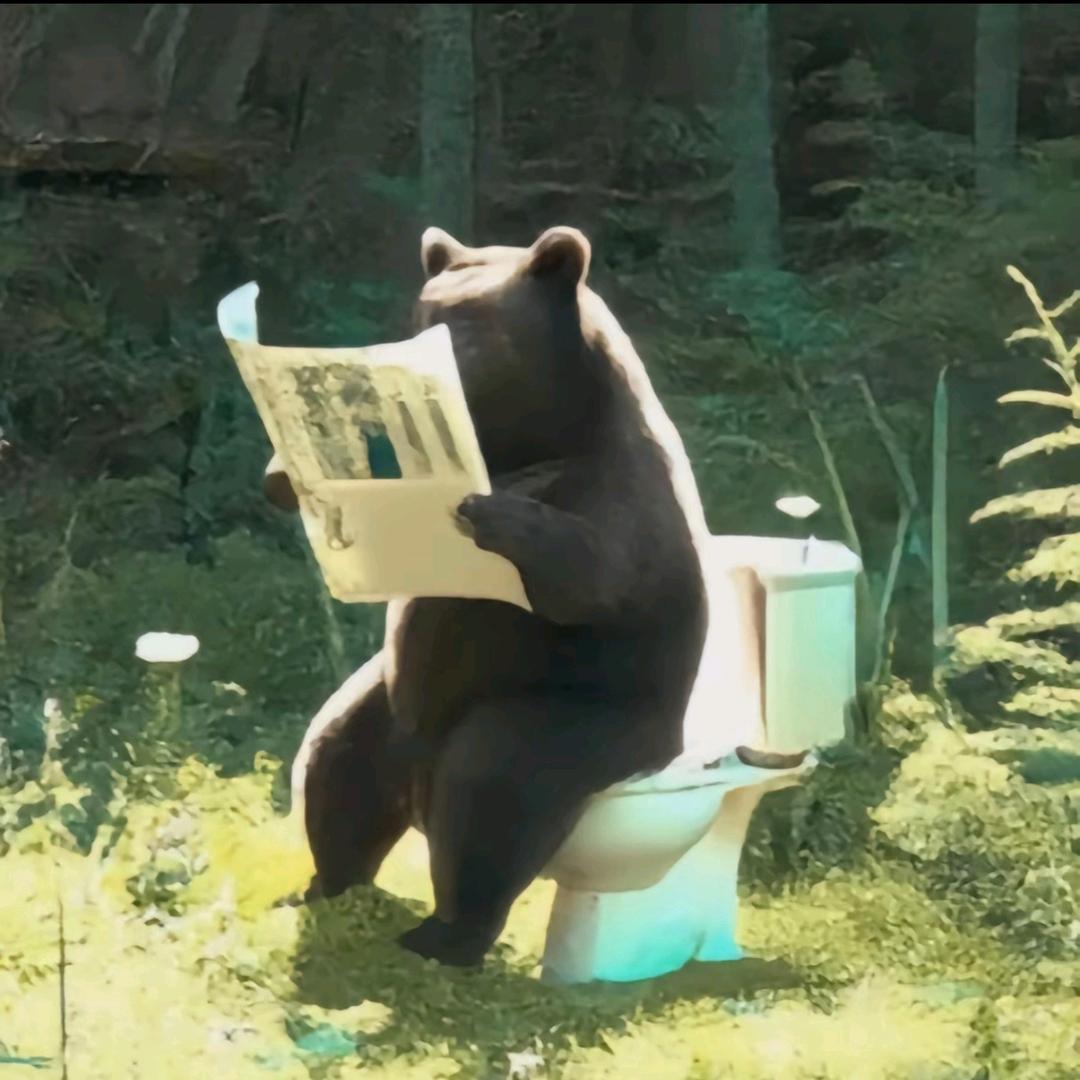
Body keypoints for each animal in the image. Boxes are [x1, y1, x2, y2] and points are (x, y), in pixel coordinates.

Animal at [266, 225, 718, 967]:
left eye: (465, 326)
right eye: (421, 314)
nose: (402, 372)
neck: (525, 438)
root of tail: (416, 786)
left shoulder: (622, 494)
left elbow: (588, 577)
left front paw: (490, 512)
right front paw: (291, 470)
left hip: (568, 713)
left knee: (491, 793)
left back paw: (444, 933)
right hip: (384, 706)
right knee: (334, 767)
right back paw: (323, 884)